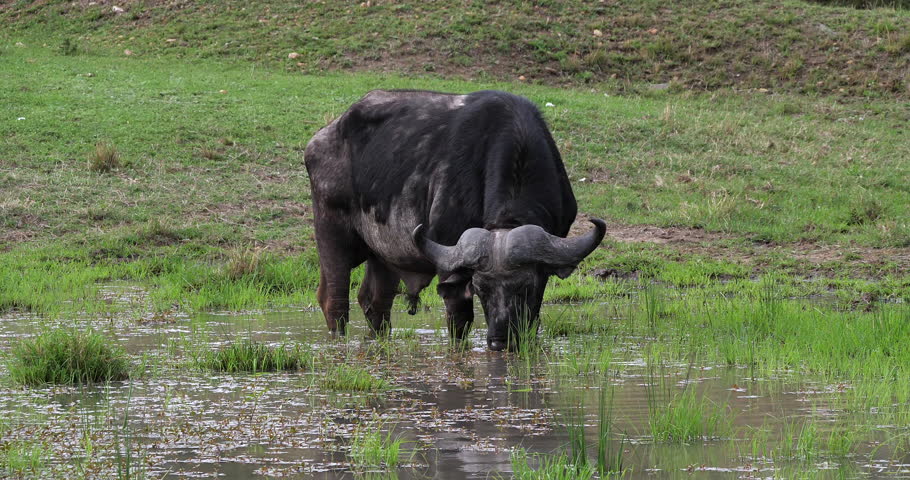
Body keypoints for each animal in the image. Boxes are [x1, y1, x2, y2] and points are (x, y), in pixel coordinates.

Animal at [304, 89, 605, 351]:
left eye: (525, 287)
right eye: (480, 289)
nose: (499, 341)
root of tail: (321, 140)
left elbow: (532, 319)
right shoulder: (450, 265)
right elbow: (459, 322)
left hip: (383, 254)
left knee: (374, 303)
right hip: (332, 233)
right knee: (335, 301)